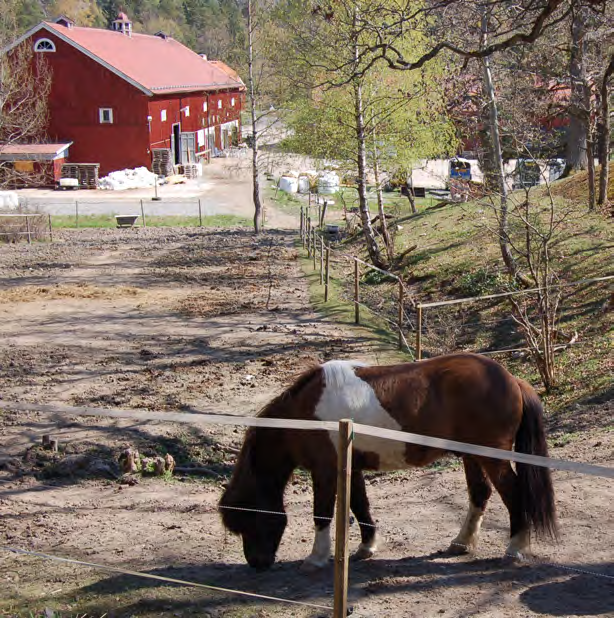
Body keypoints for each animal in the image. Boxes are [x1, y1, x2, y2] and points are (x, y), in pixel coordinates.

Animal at [220, 352, 560, 568]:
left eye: (249, 518)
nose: (257, 564)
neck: (302, 414)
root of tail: (512, 379)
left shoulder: (325, 471)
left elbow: (322, 514)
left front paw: (316, 558)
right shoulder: (351, 467)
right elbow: (360, 506)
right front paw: (366, 547)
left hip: (492, 457)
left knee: (513, 494)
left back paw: (515, 548)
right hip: (472, 456)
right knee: (480, 494)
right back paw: (461, 543)